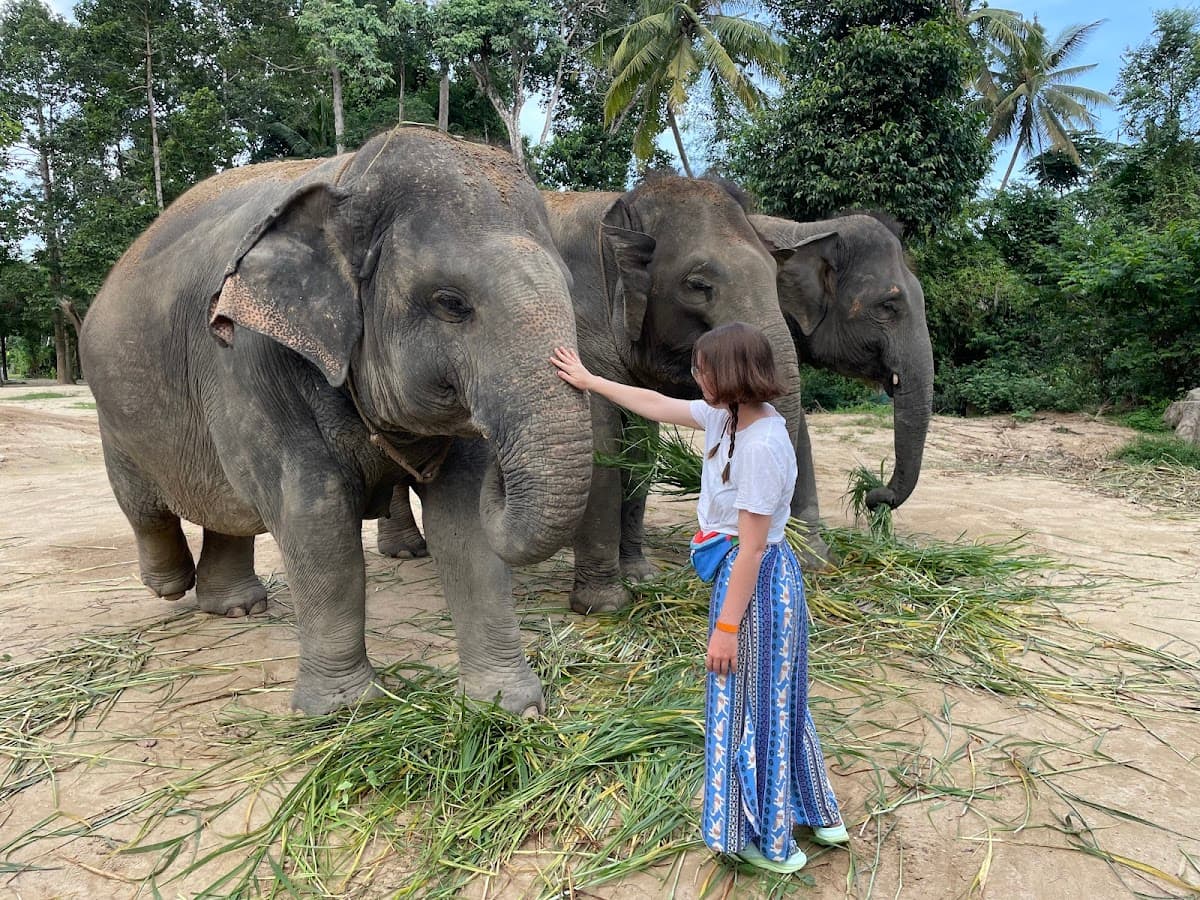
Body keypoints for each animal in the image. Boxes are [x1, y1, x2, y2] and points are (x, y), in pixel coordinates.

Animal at [79, 126, 594, 716]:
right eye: (451, 303)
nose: (502, 473)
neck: (352, 179)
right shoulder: (250, 361)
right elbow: (315, 516)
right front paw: (345, 711)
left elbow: (463, 519)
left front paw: (508, 708)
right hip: (113, 413)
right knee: (145, 504)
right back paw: (169, 585)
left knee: (225, 508)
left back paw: (236, 610)